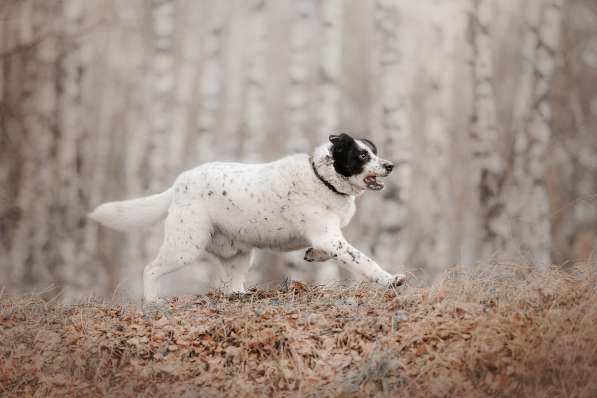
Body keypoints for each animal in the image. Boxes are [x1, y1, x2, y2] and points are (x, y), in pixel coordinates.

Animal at [88, 132, 406, 300]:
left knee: (231, 286)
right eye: (362, 155)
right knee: (150, 269)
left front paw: (312, 255)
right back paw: (153, 301)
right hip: (185, 245)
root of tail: (180, 182)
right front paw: (390, 280)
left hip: (239, 256)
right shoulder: (329, 236)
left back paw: (242, 296)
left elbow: (330, 252)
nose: (391, 165)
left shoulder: (328, 238)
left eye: (375, 151)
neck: (322, 177)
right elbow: (363, 260)